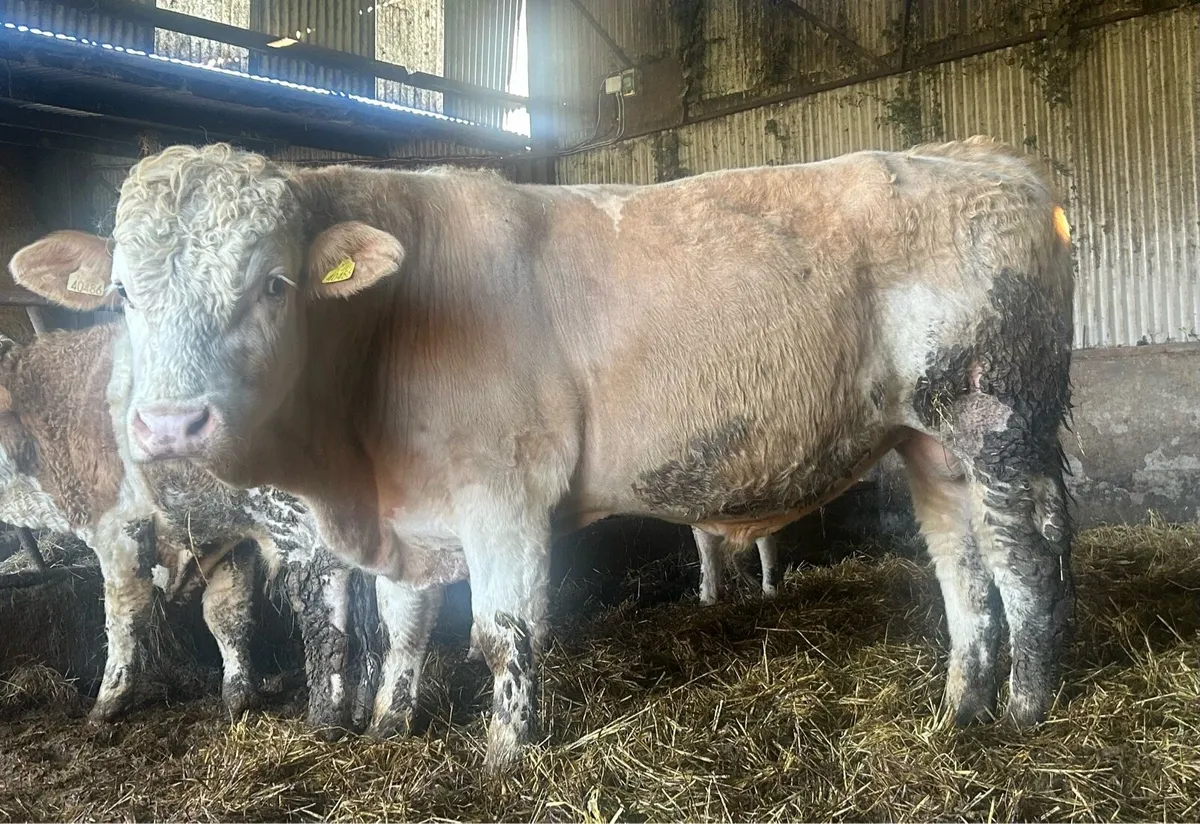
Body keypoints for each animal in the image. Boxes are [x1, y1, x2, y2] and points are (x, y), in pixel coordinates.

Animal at [0, 321, 379, 737]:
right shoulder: (227, 535)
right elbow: (225, 615)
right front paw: (238, 696)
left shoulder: (120, 530)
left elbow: (124, 618)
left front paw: (107, 703)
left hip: (304, 526)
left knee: (326, 613)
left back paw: (327, 718)